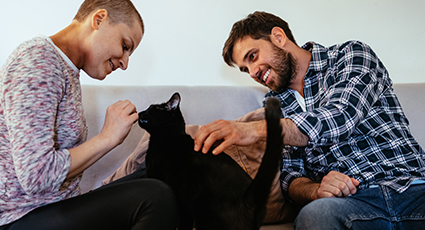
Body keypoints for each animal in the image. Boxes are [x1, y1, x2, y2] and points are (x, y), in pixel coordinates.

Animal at [137, 92, 282, 230]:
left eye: (152, 108)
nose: (139, 112)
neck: (170, 137)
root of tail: (251, 198)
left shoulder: (184, 200)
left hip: (204, 211)